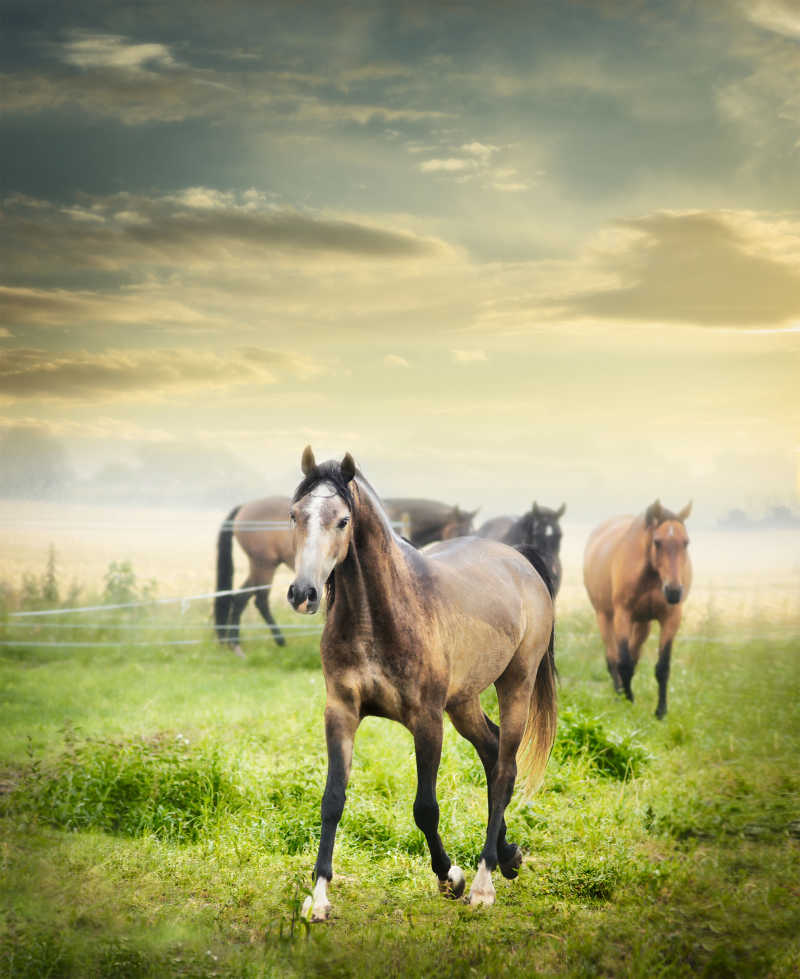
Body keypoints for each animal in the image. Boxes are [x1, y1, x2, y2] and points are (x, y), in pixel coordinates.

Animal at [214, 498, 296, 660]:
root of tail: (244, 507)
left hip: (258, 568)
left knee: (240, 598)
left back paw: (235, 645)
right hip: (264, 566)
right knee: (260, 600)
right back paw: (280, 641)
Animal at [288, 448, 556, 924]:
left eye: (342, 520)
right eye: (294, 514)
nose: (304, 593)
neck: (378, 616)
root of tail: (520, 560)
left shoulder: (427, 721)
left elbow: (425, 808)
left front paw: (452, 878)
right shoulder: (341, 712)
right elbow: (332, 799)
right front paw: (318, 897)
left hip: (516, 685)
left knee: (505, 769)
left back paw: (485, 880)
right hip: (464, 701)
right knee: (491, 751)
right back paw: (508, 855)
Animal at [580, 498, 692, 720]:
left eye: (686, 542)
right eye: (657, 542)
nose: (674, 591)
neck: (651, 575)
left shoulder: (671, 618)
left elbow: (662, 667)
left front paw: (661, 711)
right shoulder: (623, 615)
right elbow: (623, 662)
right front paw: (627, 701)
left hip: (642, 623)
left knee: (633, 655)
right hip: (604, 616)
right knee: (612, 658)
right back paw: (619, 694)